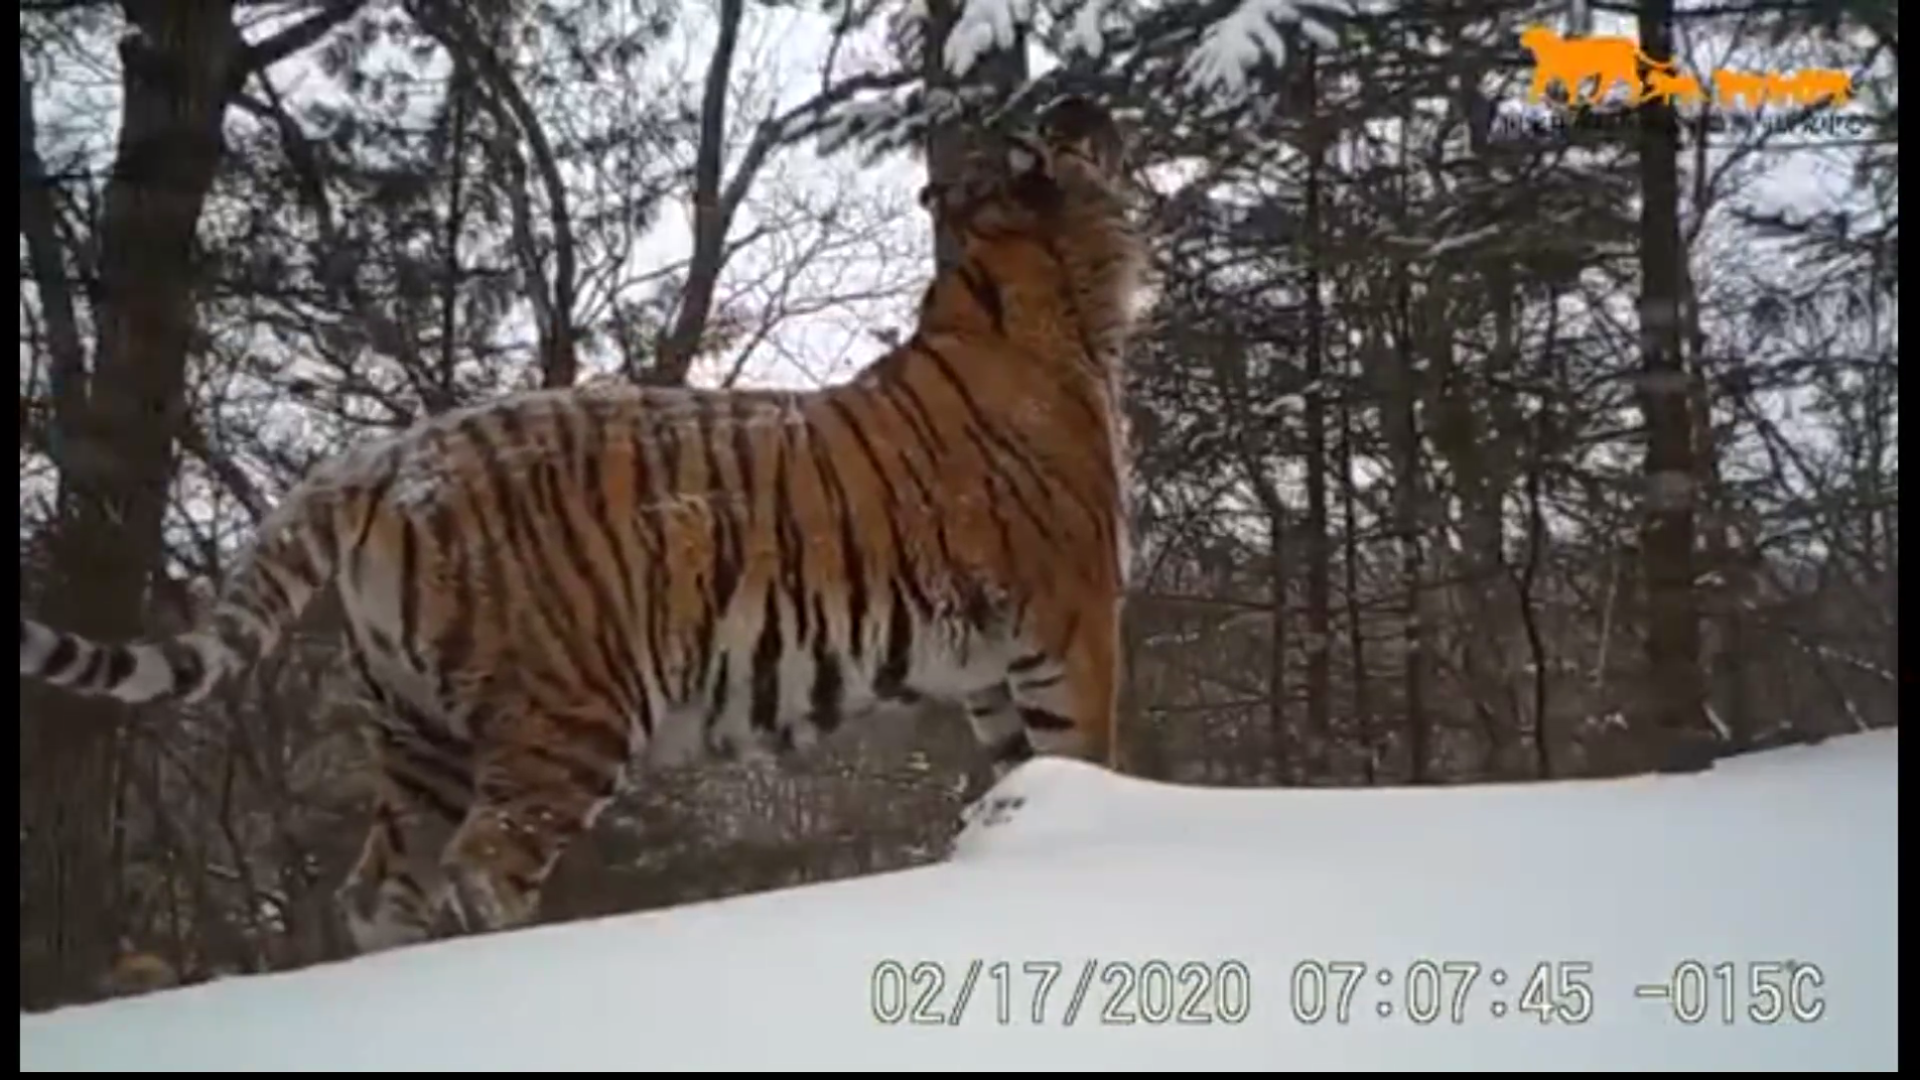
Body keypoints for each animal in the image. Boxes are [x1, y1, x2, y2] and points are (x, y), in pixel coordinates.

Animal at [18, 93, 1150, 956]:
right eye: (1056, 130)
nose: (1081, 100)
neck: (1028, 296)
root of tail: (380, 458)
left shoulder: (994, 671)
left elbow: (1019, 782)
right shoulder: (1070, 631)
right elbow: (1095, 759)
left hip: (417, 734)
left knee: (379, 893)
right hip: (565, 716)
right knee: (480, 874)